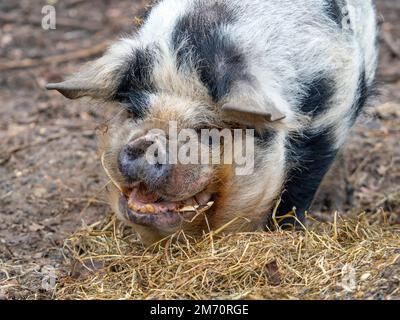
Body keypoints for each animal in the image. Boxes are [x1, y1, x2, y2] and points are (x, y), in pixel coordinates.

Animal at [47, 0, 378, 245]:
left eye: (207, 128)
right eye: (135, 111)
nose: (147, 144)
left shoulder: (331, 120)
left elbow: (298, 191)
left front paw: (284, 233)